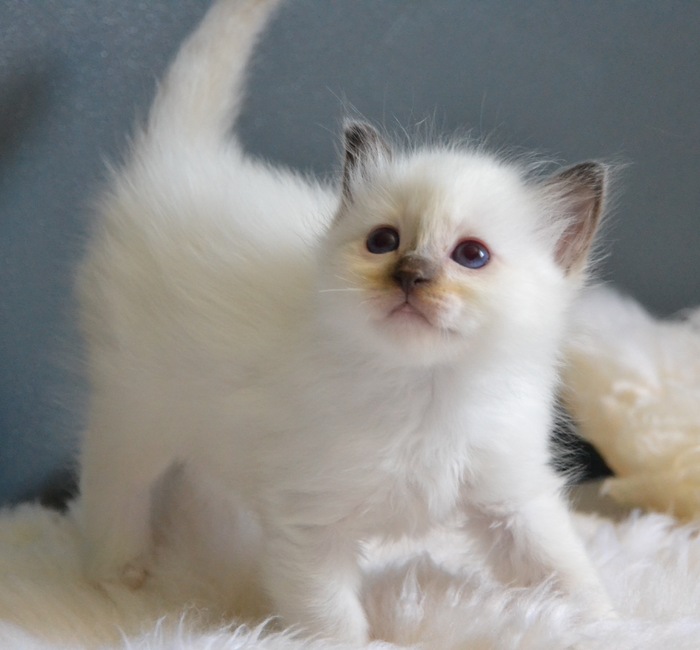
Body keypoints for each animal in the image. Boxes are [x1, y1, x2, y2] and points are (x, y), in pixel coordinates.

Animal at [75, 0, 612, 636]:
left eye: (471, 256)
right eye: (384, 242)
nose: (409, 275)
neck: (425, 392)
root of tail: (184, 160)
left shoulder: (512, 497)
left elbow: (564, 569)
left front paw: (608, 622)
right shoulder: (311, 528)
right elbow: (335, 623)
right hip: (138, 402)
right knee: (113, 479)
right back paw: (118, 571)